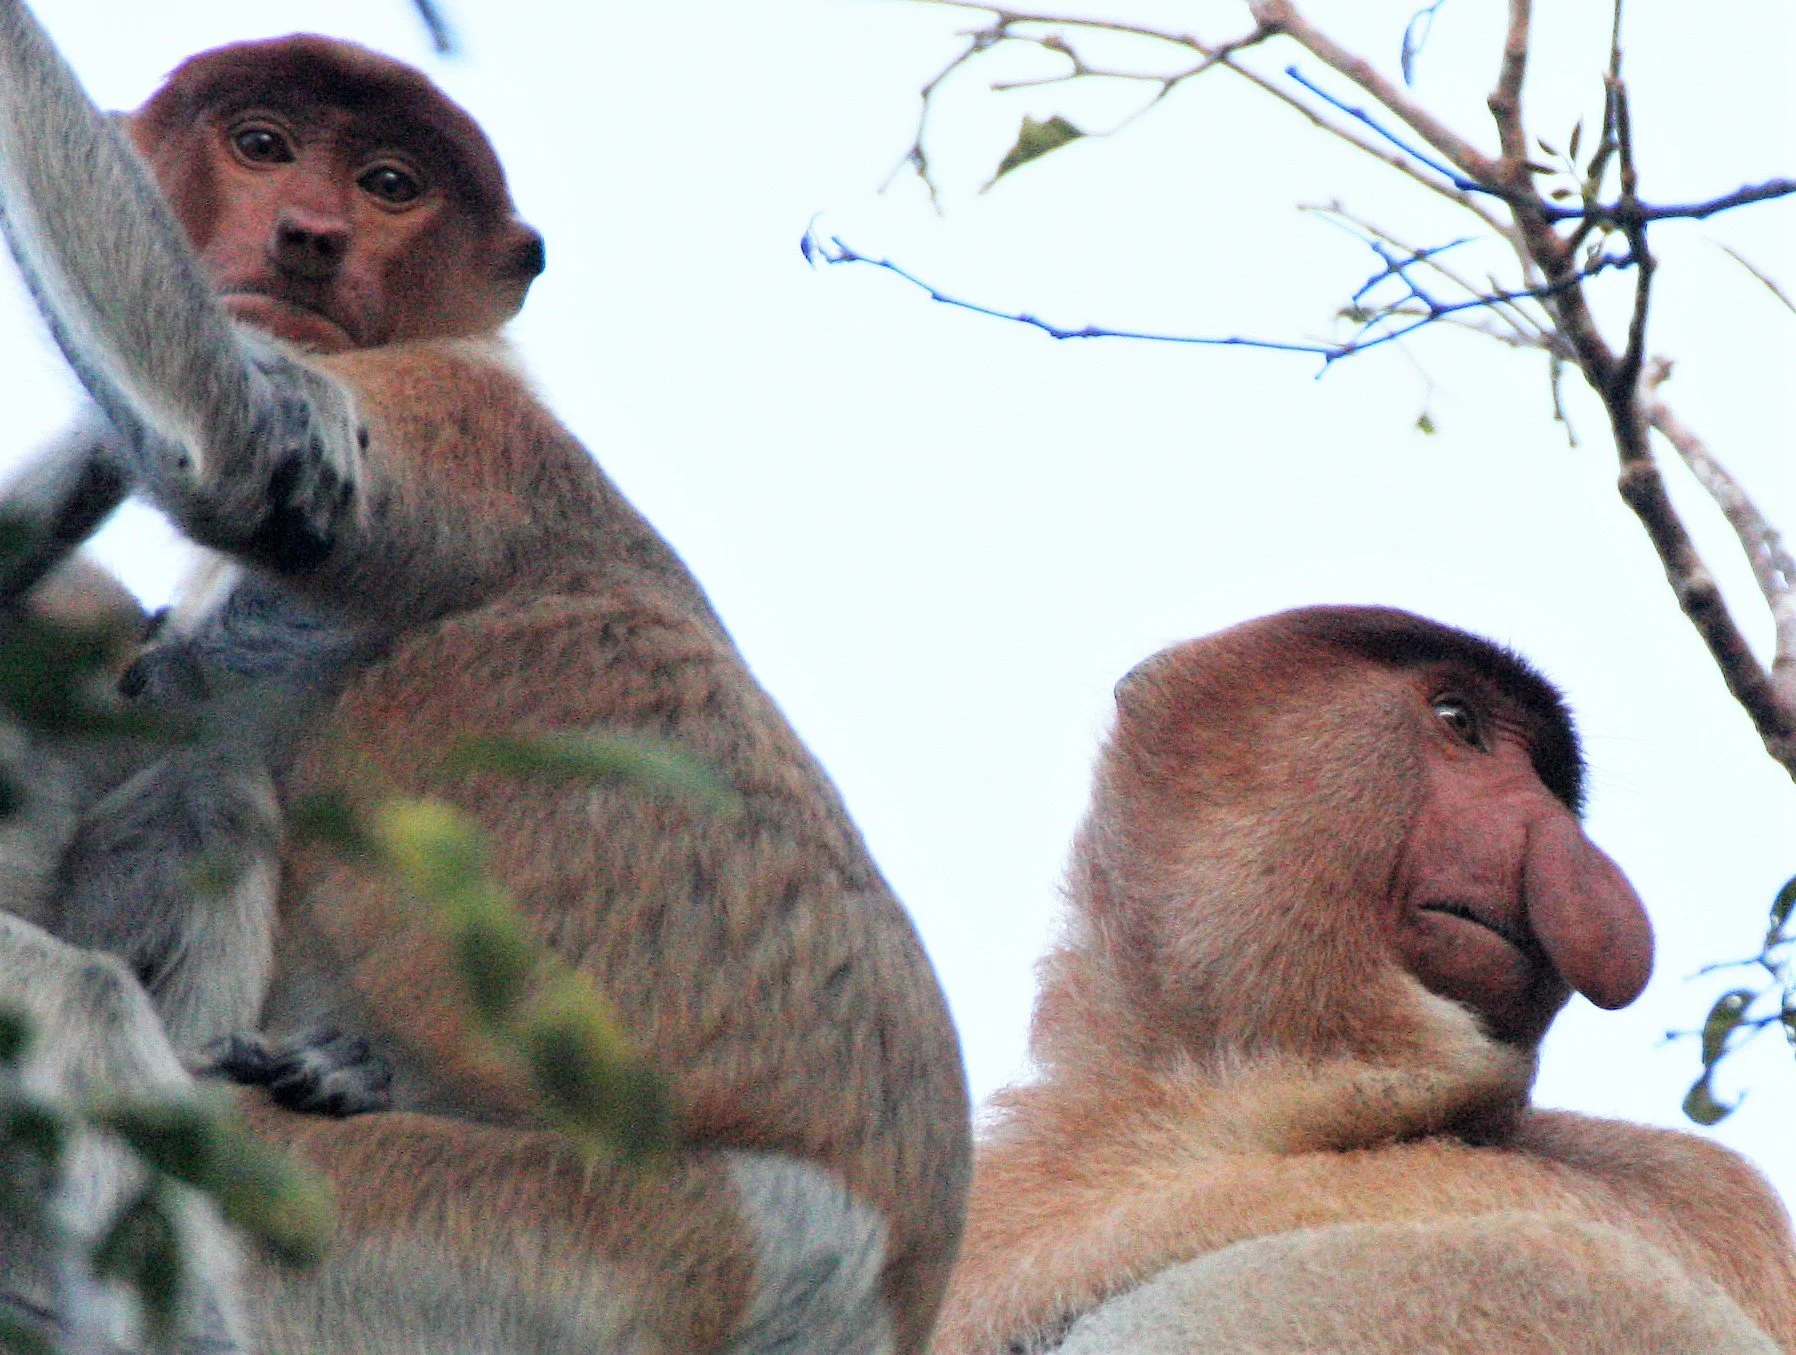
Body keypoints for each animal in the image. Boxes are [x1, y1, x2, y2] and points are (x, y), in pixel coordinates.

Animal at [0, 10, 970, 1352]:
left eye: (388, 184)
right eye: (262, 145)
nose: (310, 237)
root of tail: (857, 1286)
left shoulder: (468, 418)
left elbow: (242, 442)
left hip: (517, 1239)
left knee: (100, 1012)